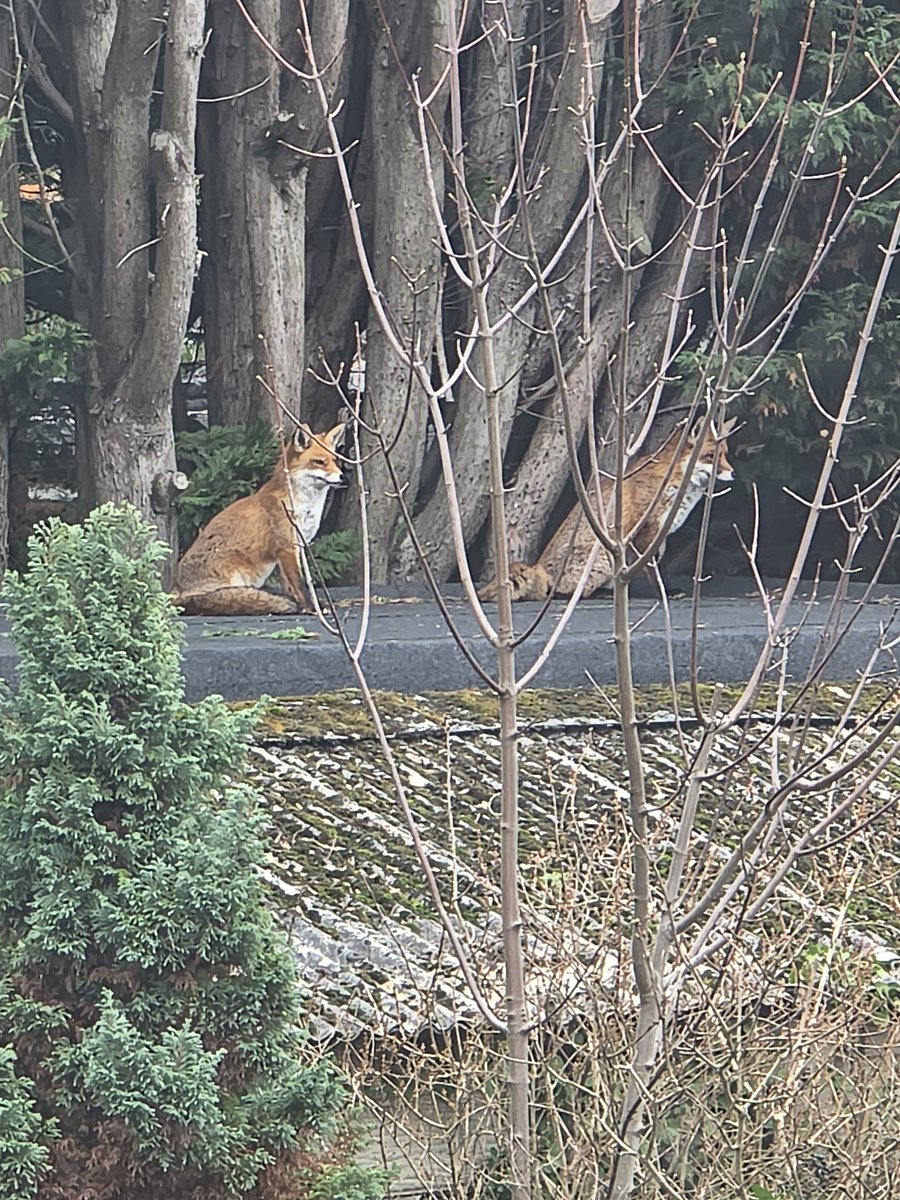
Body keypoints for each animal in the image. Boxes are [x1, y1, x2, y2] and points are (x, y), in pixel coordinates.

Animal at [172, 421, 347, 616]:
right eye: (319, 462)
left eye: (335, 460)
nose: (342, 476)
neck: (302, 506)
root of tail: (175, 592)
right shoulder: (287, 546)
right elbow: (300, 583)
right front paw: (311, 607)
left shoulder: (292, 549)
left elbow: (289, 586)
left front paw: (299, 604)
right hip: (234, 574)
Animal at [479, 419, 736, 603]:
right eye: (711, 456)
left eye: (725, 454)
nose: (732, 473)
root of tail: (539, 567)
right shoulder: (646, 530)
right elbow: (655, 570)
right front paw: (667, 592)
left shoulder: (660, 534)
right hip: (603, 556)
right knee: (558, 592)